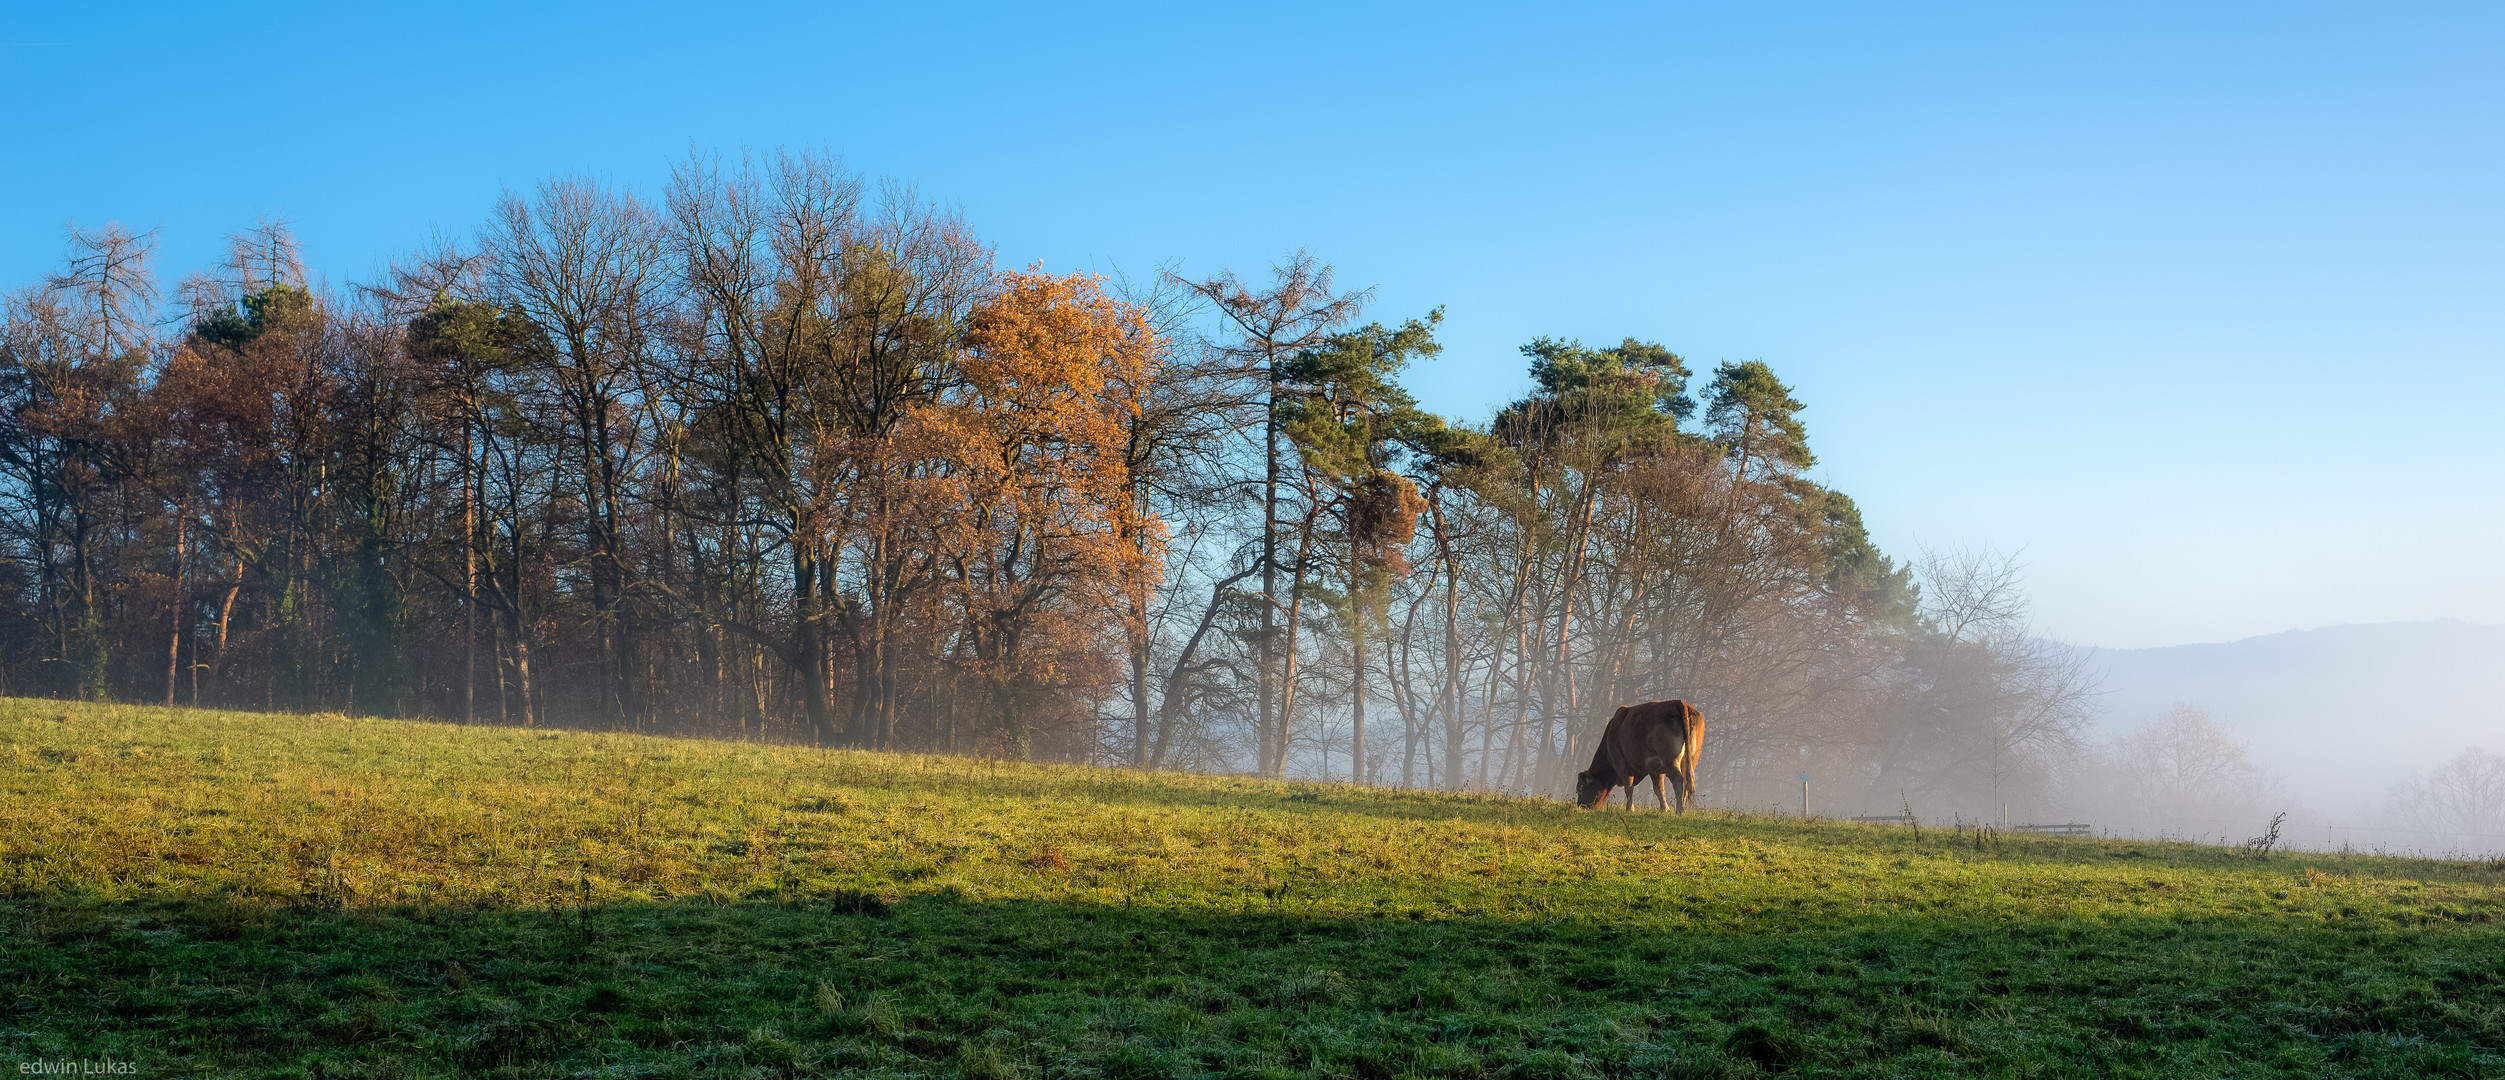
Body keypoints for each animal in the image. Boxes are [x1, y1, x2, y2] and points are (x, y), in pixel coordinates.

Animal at [1563, 701, 1703, 811]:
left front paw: (1630, 809)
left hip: (1670, 761)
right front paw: (1665, 809)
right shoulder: (1655, 769)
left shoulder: (1622, 764)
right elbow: (1659, 789)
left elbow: (1628, 787)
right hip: (1690, 760)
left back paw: (1679, 810)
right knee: (1686, 781)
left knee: (1679, 780)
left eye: (1580, 789)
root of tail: (1679, 703)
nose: (1581, 807)